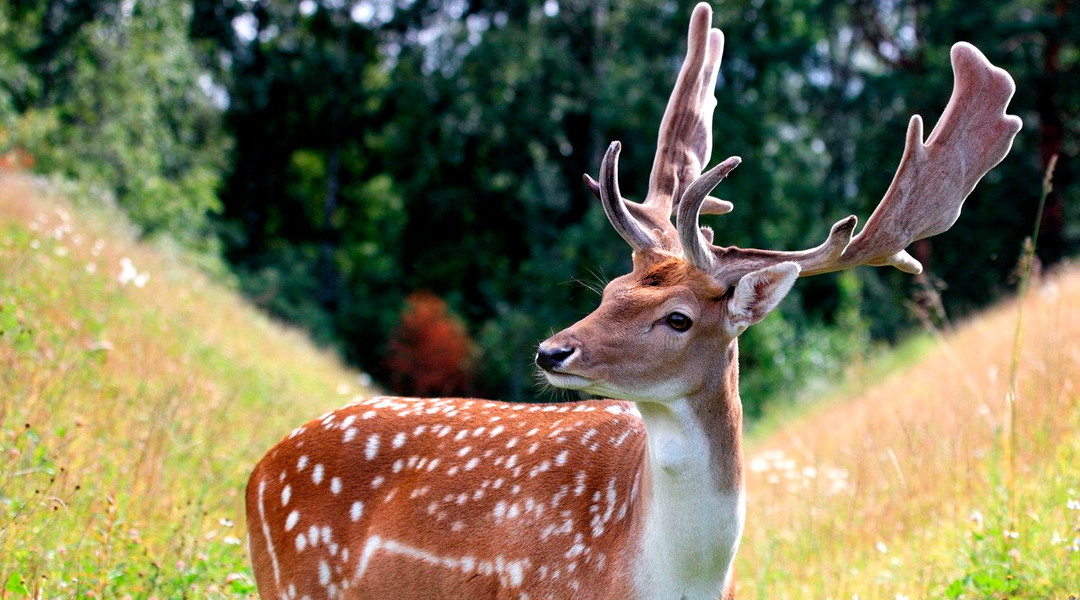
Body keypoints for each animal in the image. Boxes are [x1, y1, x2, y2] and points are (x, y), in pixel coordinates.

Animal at [245, 5, 1019, 600]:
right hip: (293, 578)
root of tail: (258, 470)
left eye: (677, 317)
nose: (551, 350)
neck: (658, 580)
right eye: (612, 290)